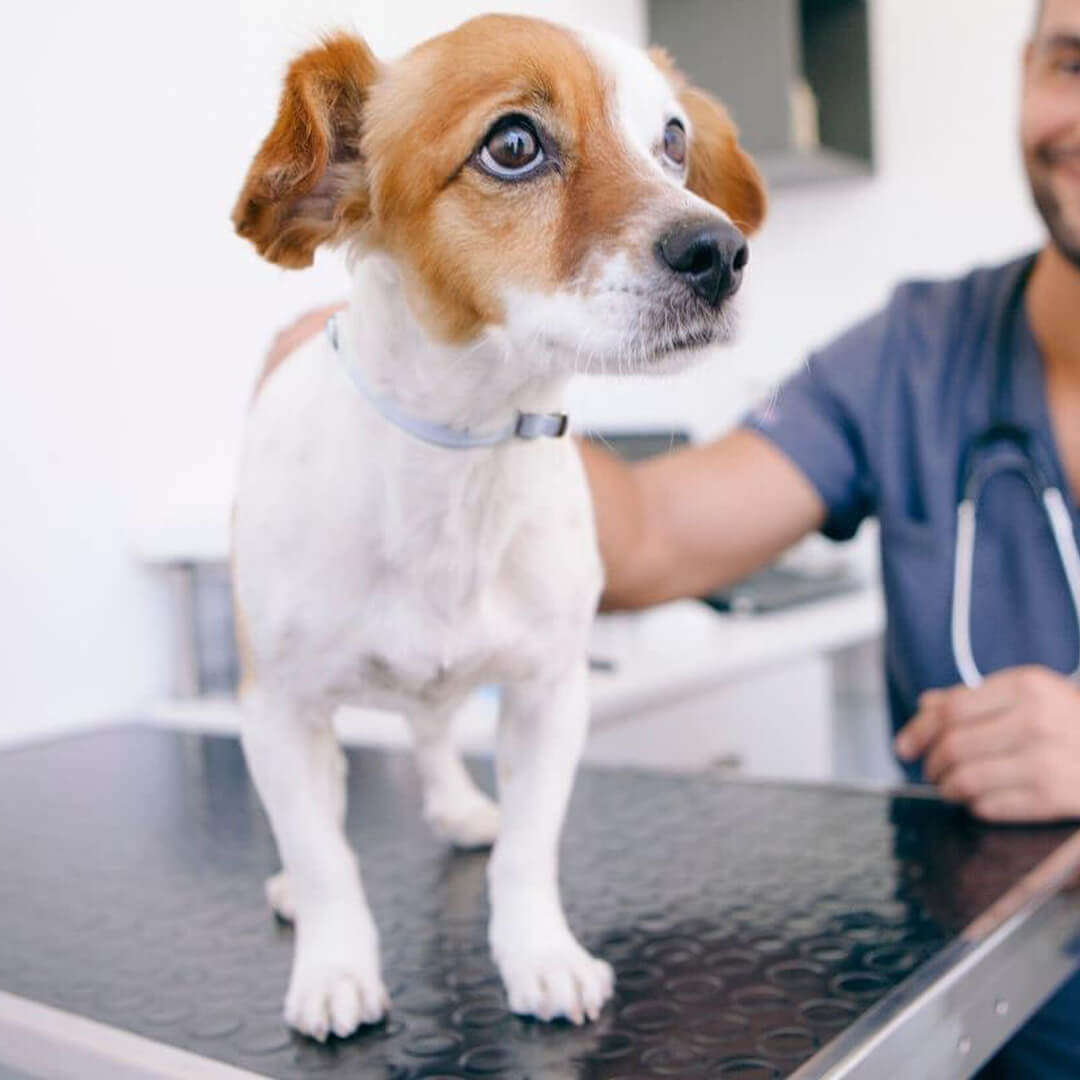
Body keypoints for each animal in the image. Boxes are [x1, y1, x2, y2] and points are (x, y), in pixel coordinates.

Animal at [232, 14, 764, 1045]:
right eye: (512, 145)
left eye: (673, 142)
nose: (721, 251)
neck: (461, 462)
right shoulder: (275, 712)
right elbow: (325, 856)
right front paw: (334, 967)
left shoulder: (548, 694)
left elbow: (528, 851)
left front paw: (539, 957)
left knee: (433, 729)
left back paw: (456, 804)